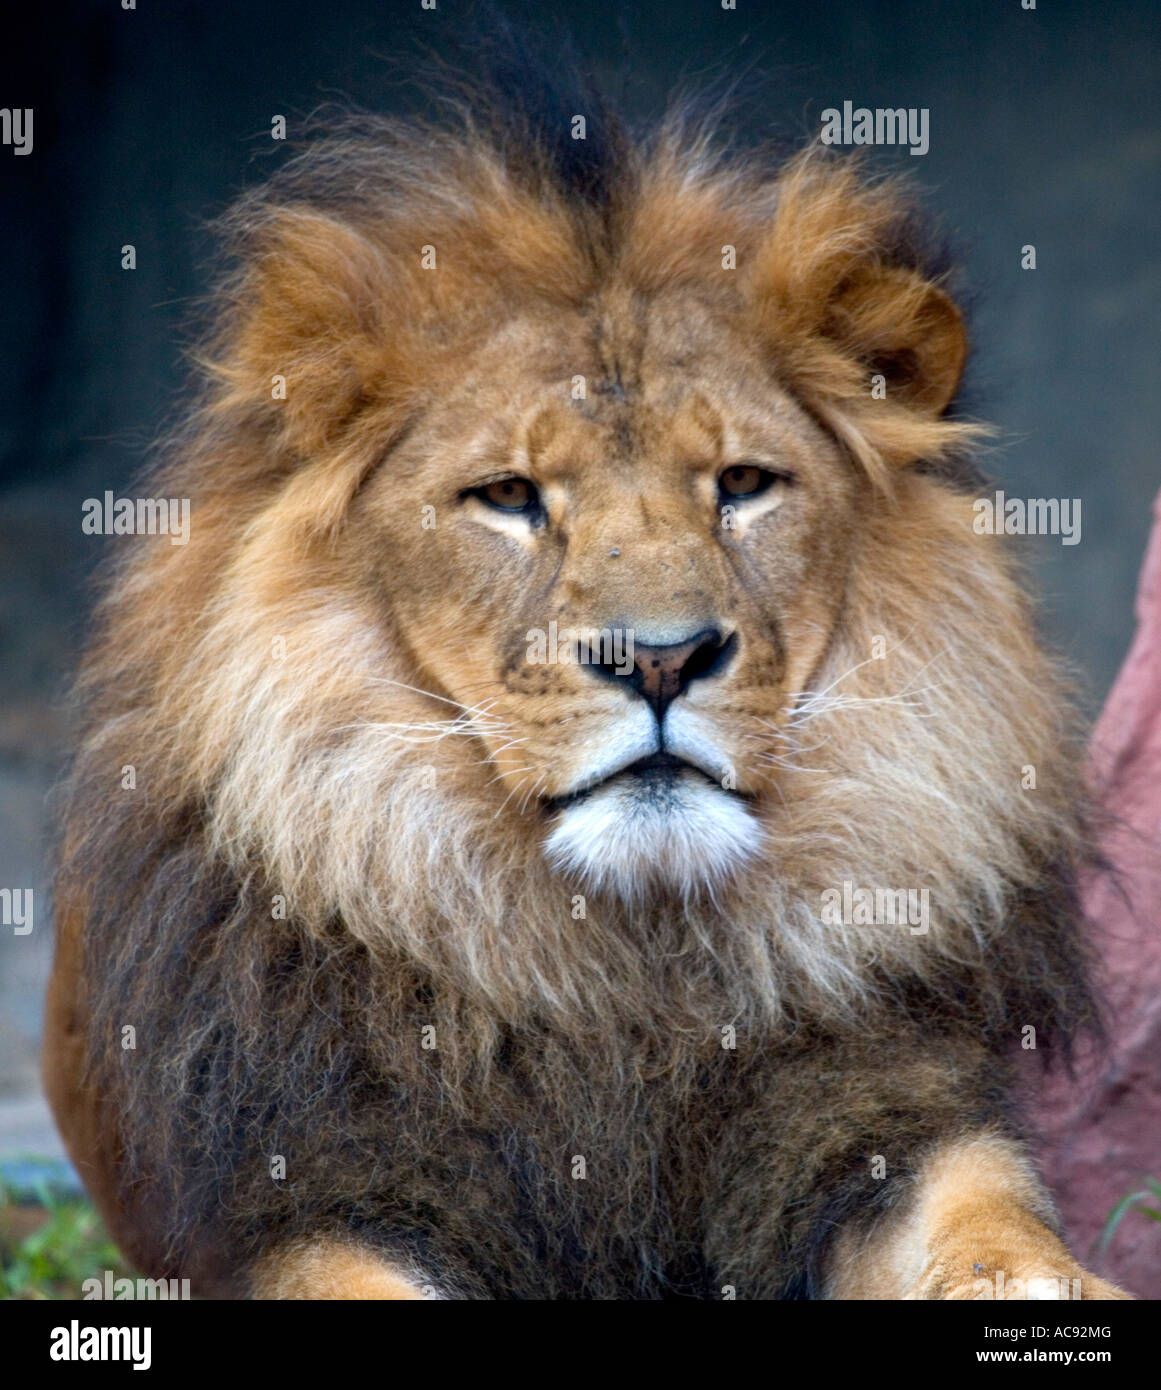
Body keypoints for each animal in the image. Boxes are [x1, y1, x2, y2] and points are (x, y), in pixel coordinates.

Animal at [40, 51, 1129, 1289]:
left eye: (743, 483)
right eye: (509, 496)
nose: (661, 658)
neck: (628, 979)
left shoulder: (882, 1118)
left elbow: (998, 1233)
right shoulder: (317, 1194)